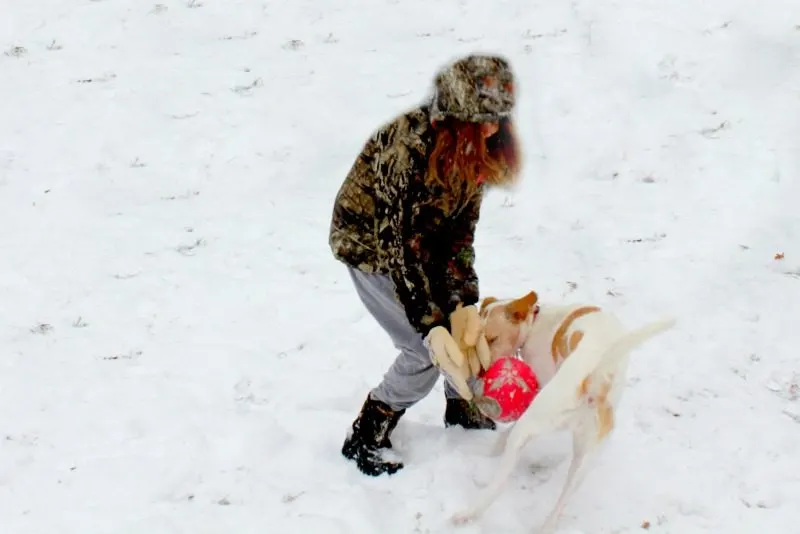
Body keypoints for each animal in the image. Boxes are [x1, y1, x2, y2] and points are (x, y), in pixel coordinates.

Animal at [450, 292, 676, 532]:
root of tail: (595, 378)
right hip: (585, 457)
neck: (536, 319)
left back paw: (469, 511)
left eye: (492, 339)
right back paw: (547, 525)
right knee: (563, 500)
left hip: (535, 421)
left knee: (499, 482)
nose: (480, 375)